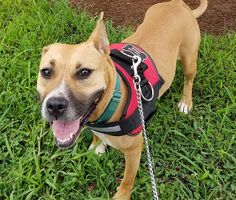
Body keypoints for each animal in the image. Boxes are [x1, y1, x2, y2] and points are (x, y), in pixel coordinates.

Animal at [36, 0, 206, 199]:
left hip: (189, 60)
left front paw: (122, 195)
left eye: (84, 72)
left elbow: (128, 179)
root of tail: (178, 3)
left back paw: (186, 101)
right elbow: (97, 137)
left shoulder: (134, 151)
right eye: (46, 72)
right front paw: (97, 146)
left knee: (189, 79)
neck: (111, 102)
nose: (55, 105)